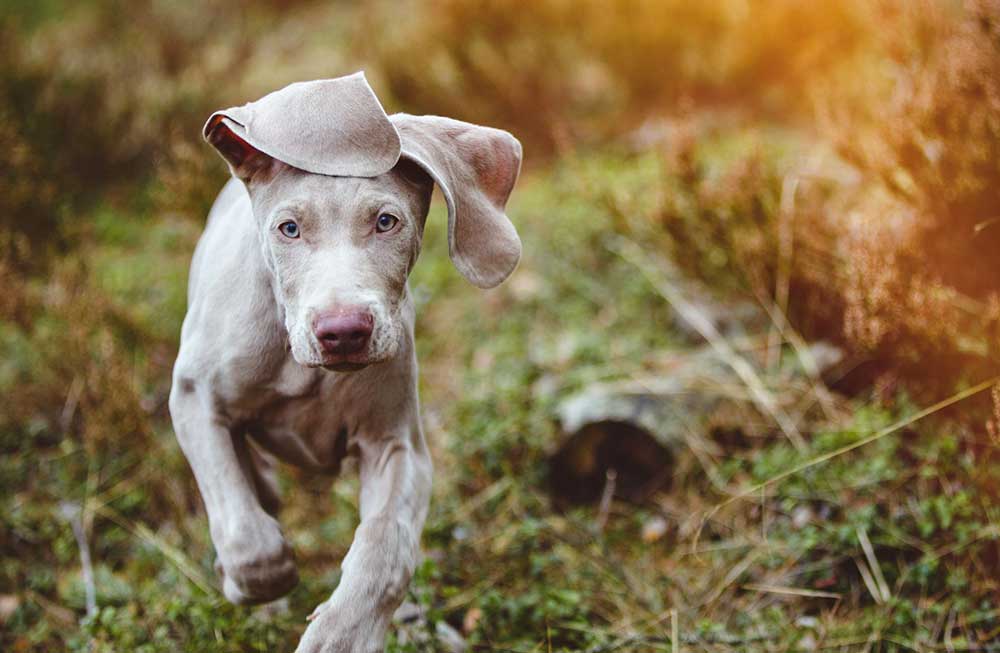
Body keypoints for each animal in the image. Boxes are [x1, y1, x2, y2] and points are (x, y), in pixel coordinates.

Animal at [167, 72, 520, 652]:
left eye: (386, 222)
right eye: (288, 229)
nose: (343, 332)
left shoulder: (395, 445)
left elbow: (385, 552)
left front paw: (341, 635)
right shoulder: (196, 397)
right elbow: (247, 534)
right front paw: (253, 581)